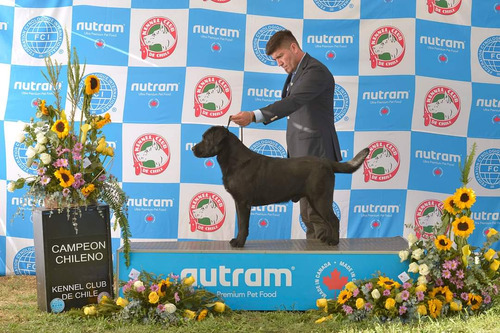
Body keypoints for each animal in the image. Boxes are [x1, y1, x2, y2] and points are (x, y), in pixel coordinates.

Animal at [193, 126, 370, 248]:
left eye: (205, 138)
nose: (193, 148)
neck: (234, 161)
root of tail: (326, 162)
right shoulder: (238, 202)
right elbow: (241, 223)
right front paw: (237, 240)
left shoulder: (243, 202)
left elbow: (243, 224)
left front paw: (239, 242)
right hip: (315, 199)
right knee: (326, 220)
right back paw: (327, 239)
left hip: (321, 198)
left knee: (334, 219)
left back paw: (333, 241)